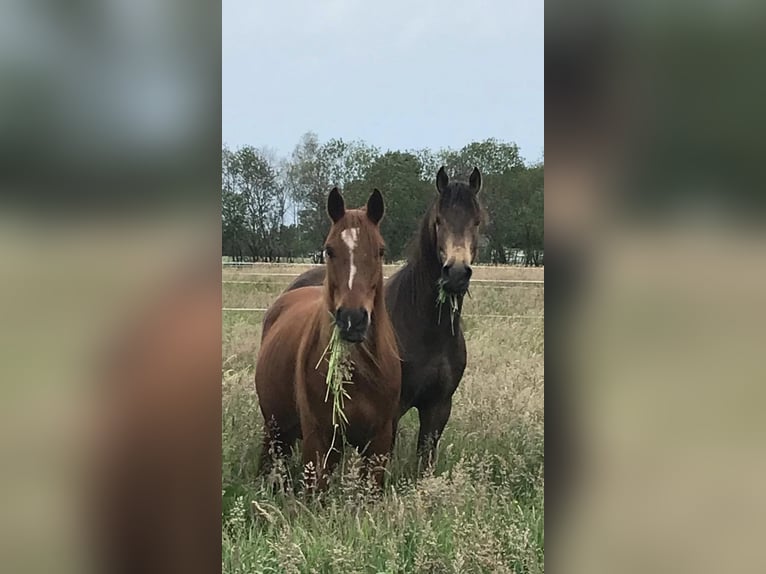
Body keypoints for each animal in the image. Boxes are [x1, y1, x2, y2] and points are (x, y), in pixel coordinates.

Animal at [258, 188, 402, 490]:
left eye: (380, 250)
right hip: (275, 429)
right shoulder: (320, 441)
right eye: (329, 249)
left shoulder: (379, 443)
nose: (352, 319)